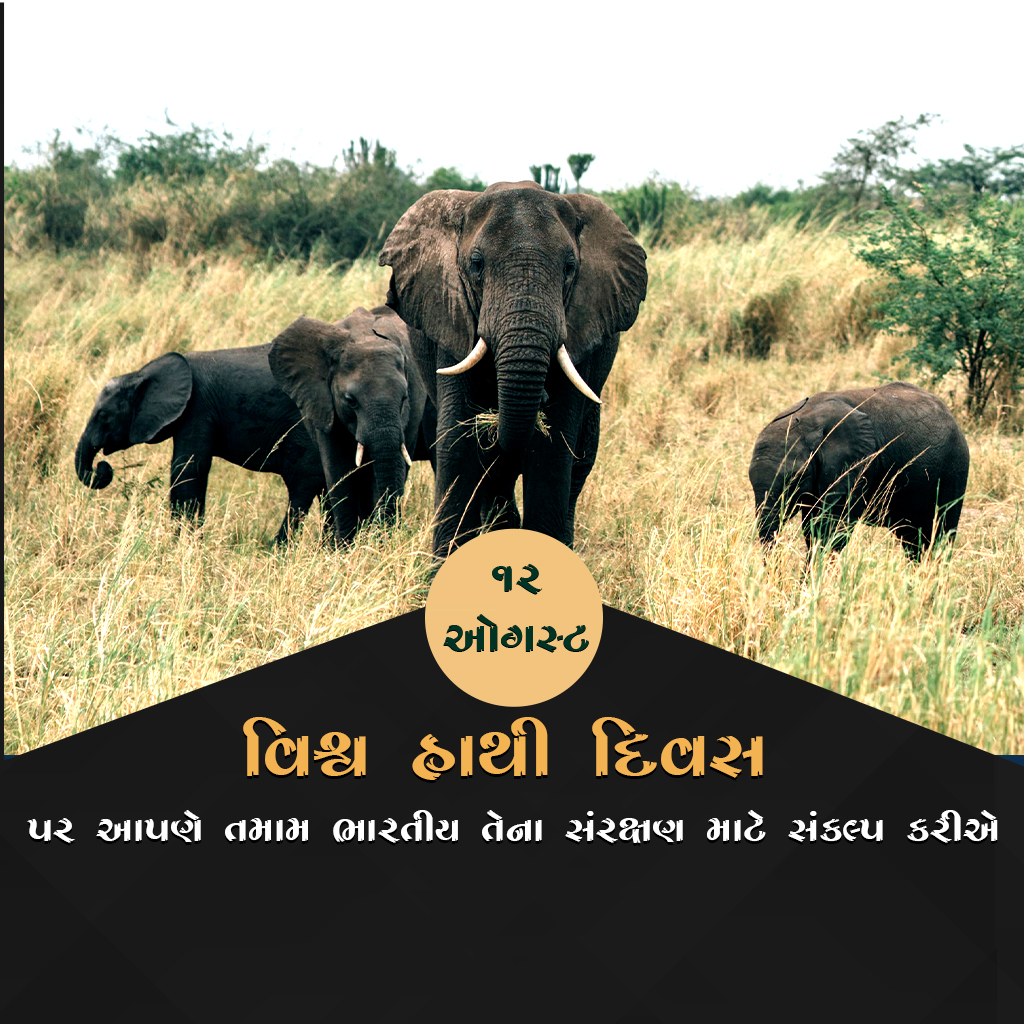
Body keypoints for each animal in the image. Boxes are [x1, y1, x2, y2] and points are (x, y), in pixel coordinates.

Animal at [75, 345, 327, 543]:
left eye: (103, 416)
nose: (102, 468)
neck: (141, 373)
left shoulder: (197, 409)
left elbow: (187, 469)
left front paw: (181, 545)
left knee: (301, 485)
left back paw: (279, 548)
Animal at [268, 305, 431, 546]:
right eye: (350, 400)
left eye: (404, 399)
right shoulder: (323, 402)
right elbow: (338, 469)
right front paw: (344, 547)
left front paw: (374, 545)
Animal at [379, 180, 647, 557]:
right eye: (476, 264)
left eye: (569, 268)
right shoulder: (452, 315)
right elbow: (459, 440)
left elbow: (553, 449)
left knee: (578, 464)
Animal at [748, 382, 971, 560]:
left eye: (795, 480)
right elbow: (813, 528)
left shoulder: (857, 465)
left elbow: (832, 528)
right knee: (913, 540)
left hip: (954, 468)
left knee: (939, 534)